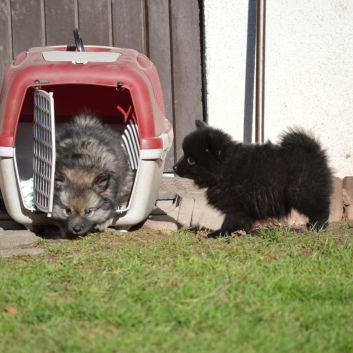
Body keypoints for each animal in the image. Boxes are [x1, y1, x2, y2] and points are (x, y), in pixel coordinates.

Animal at [173, 119, 332, 238]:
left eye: (191, 160)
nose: (174, 167)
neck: (226, 169)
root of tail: (312, 150)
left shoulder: (236, 207)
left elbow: (231, 222)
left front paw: (220, 233)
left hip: (303, 192)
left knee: (321, 209)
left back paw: (317, 226)